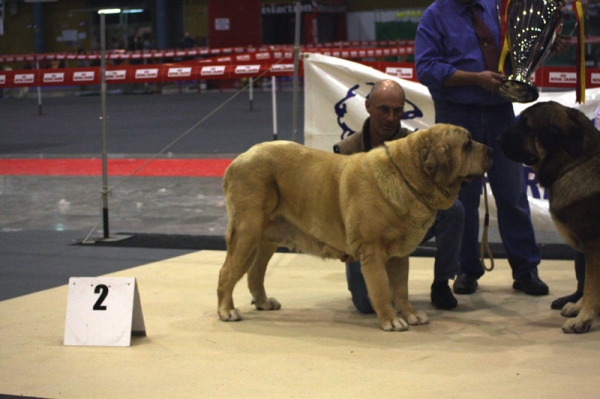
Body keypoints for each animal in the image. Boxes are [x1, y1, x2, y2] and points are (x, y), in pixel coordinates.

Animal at [217, 125, 492, 332]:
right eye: (467, 144)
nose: (491, 149)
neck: (408, 175)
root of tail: (237, 161)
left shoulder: (400, 255)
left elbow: (401, 290)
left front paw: (411, 314)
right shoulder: (373, 252)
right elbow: (381, 289)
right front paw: (391, 320)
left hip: (266, 239)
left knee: (255, 272)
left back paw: (263, 303)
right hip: (247, 231)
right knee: (227, 272)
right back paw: (227, 310)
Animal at [500, 101, 600, 334]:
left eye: (527, 126)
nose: (499, 137)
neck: (576, 163)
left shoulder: (594, 247)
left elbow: (591, 286)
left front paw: (584, 318)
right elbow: (588, 285)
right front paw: (579, 308)